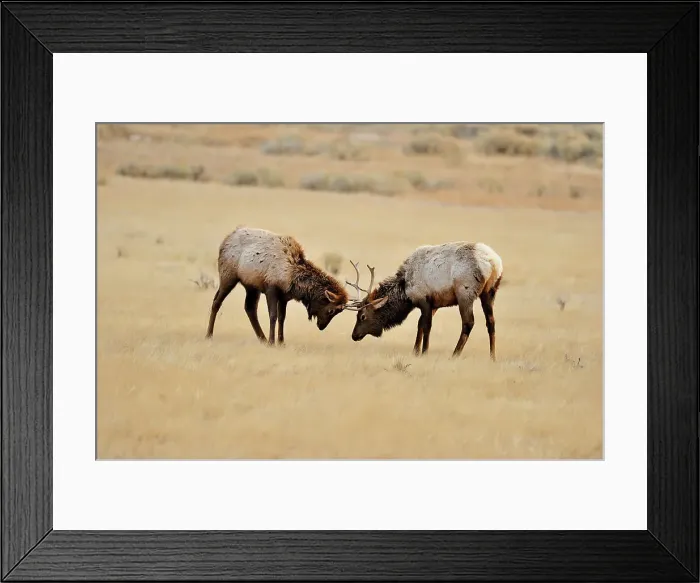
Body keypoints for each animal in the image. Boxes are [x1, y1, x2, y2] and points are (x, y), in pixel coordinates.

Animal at [206, 226, 349, 345]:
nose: (321, 326)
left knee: (250, 308)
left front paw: (281, 341)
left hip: (251, 287)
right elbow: (273, 316)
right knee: (216, 302)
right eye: (331, 310)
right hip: (228, 277)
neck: (293, 276)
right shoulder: (271, 289)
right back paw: (209, 334)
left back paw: (262, 338)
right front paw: (271, 341)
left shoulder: (284, 297)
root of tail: (225, 241)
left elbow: (282, 317)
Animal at [344, 242, 503, 359]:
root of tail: (494, 263)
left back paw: (455, 354)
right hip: (489, 292)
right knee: (491, 322)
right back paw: (492, 356)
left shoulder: (424, 299)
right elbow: (420, 324)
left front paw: (424, 352)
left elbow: (426, 326)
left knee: (468, 322)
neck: (405, 290)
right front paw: (415, 351)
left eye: (362, 316)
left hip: (465, 293)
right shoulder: (434, 304)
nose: (354, 335)